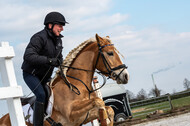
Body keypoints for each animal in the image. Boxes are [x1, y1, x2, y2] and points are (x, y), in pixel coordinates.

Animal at [0, 34, 129, 125]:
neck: (77, 84)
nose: (125, 76)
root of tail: (4, 118)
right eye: (110, 53)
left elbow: (109, 110)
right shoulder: (70, 115)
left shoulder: (85, 116)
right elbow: (99, 101)